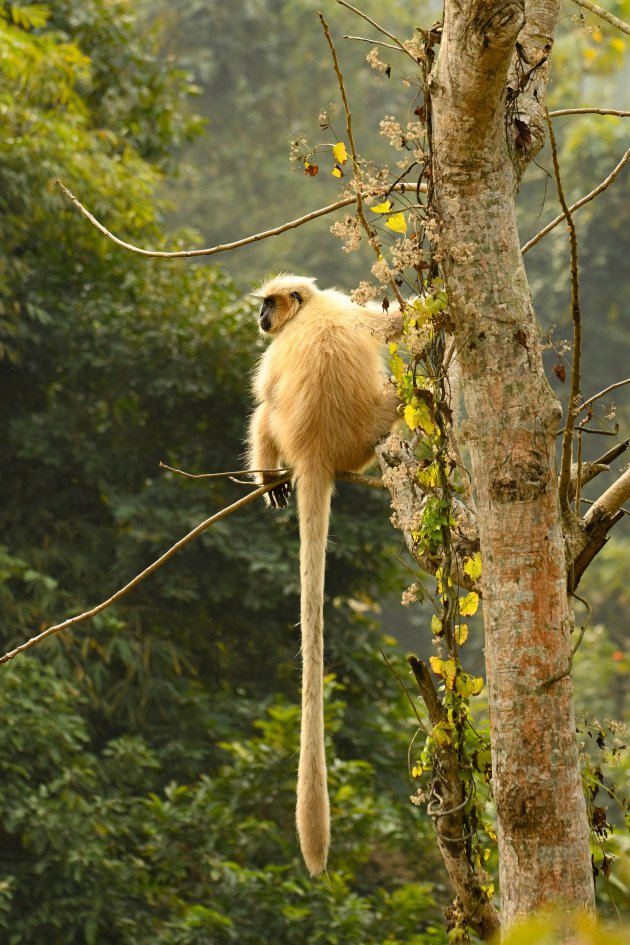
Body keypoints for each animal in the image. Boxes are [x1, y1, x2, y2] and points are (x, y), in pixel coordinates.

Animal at [248, 272, 402, 876]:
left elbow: (263, 395)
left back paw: (269, 478)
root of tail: (316, 450)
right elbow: (399, 320)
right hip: (368, 439)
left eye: (269, 306)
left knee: (265, 412)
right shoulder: (350, 310)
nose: (262, 319)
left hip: (300, 437)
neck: (311, 312)